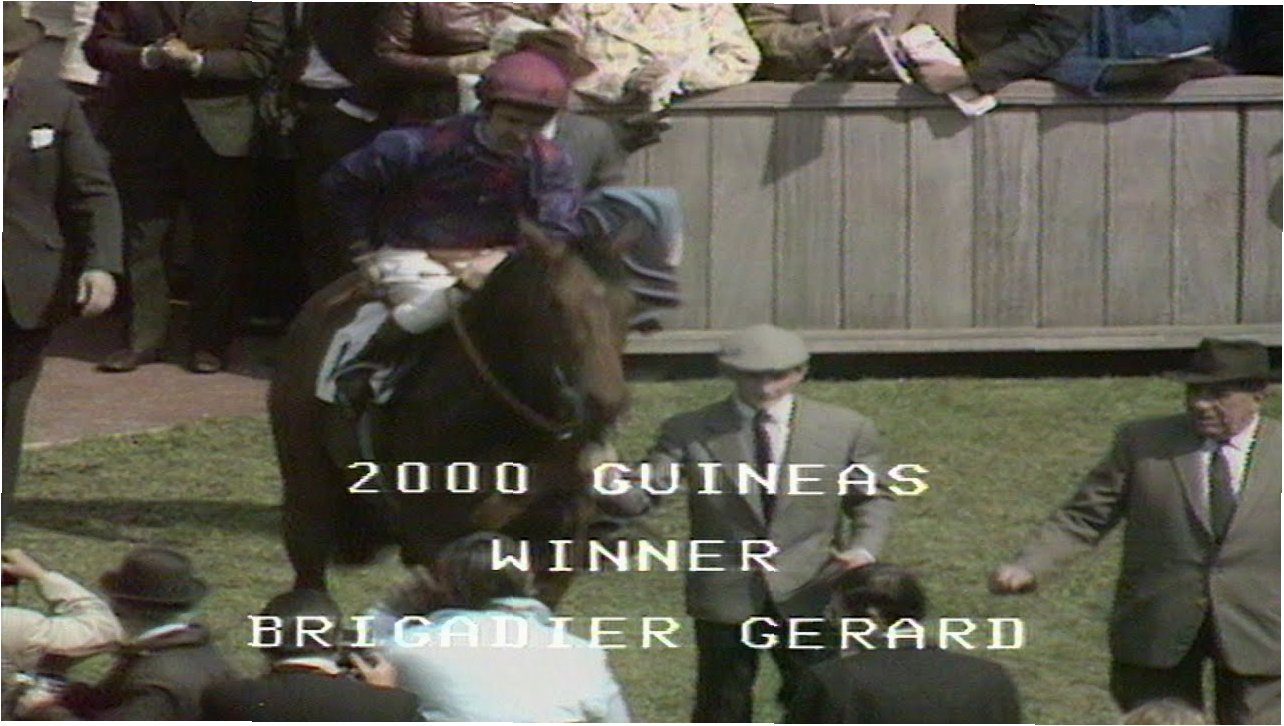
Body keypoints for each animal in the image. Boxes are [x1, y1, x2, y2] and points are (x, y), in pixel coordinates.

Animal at [268, 221, 637, 606]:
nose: (606, 404)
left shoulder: (561, 538)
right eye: (555, 303)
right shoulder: (439, 540)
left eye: (628, 305)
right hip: (305, 489)